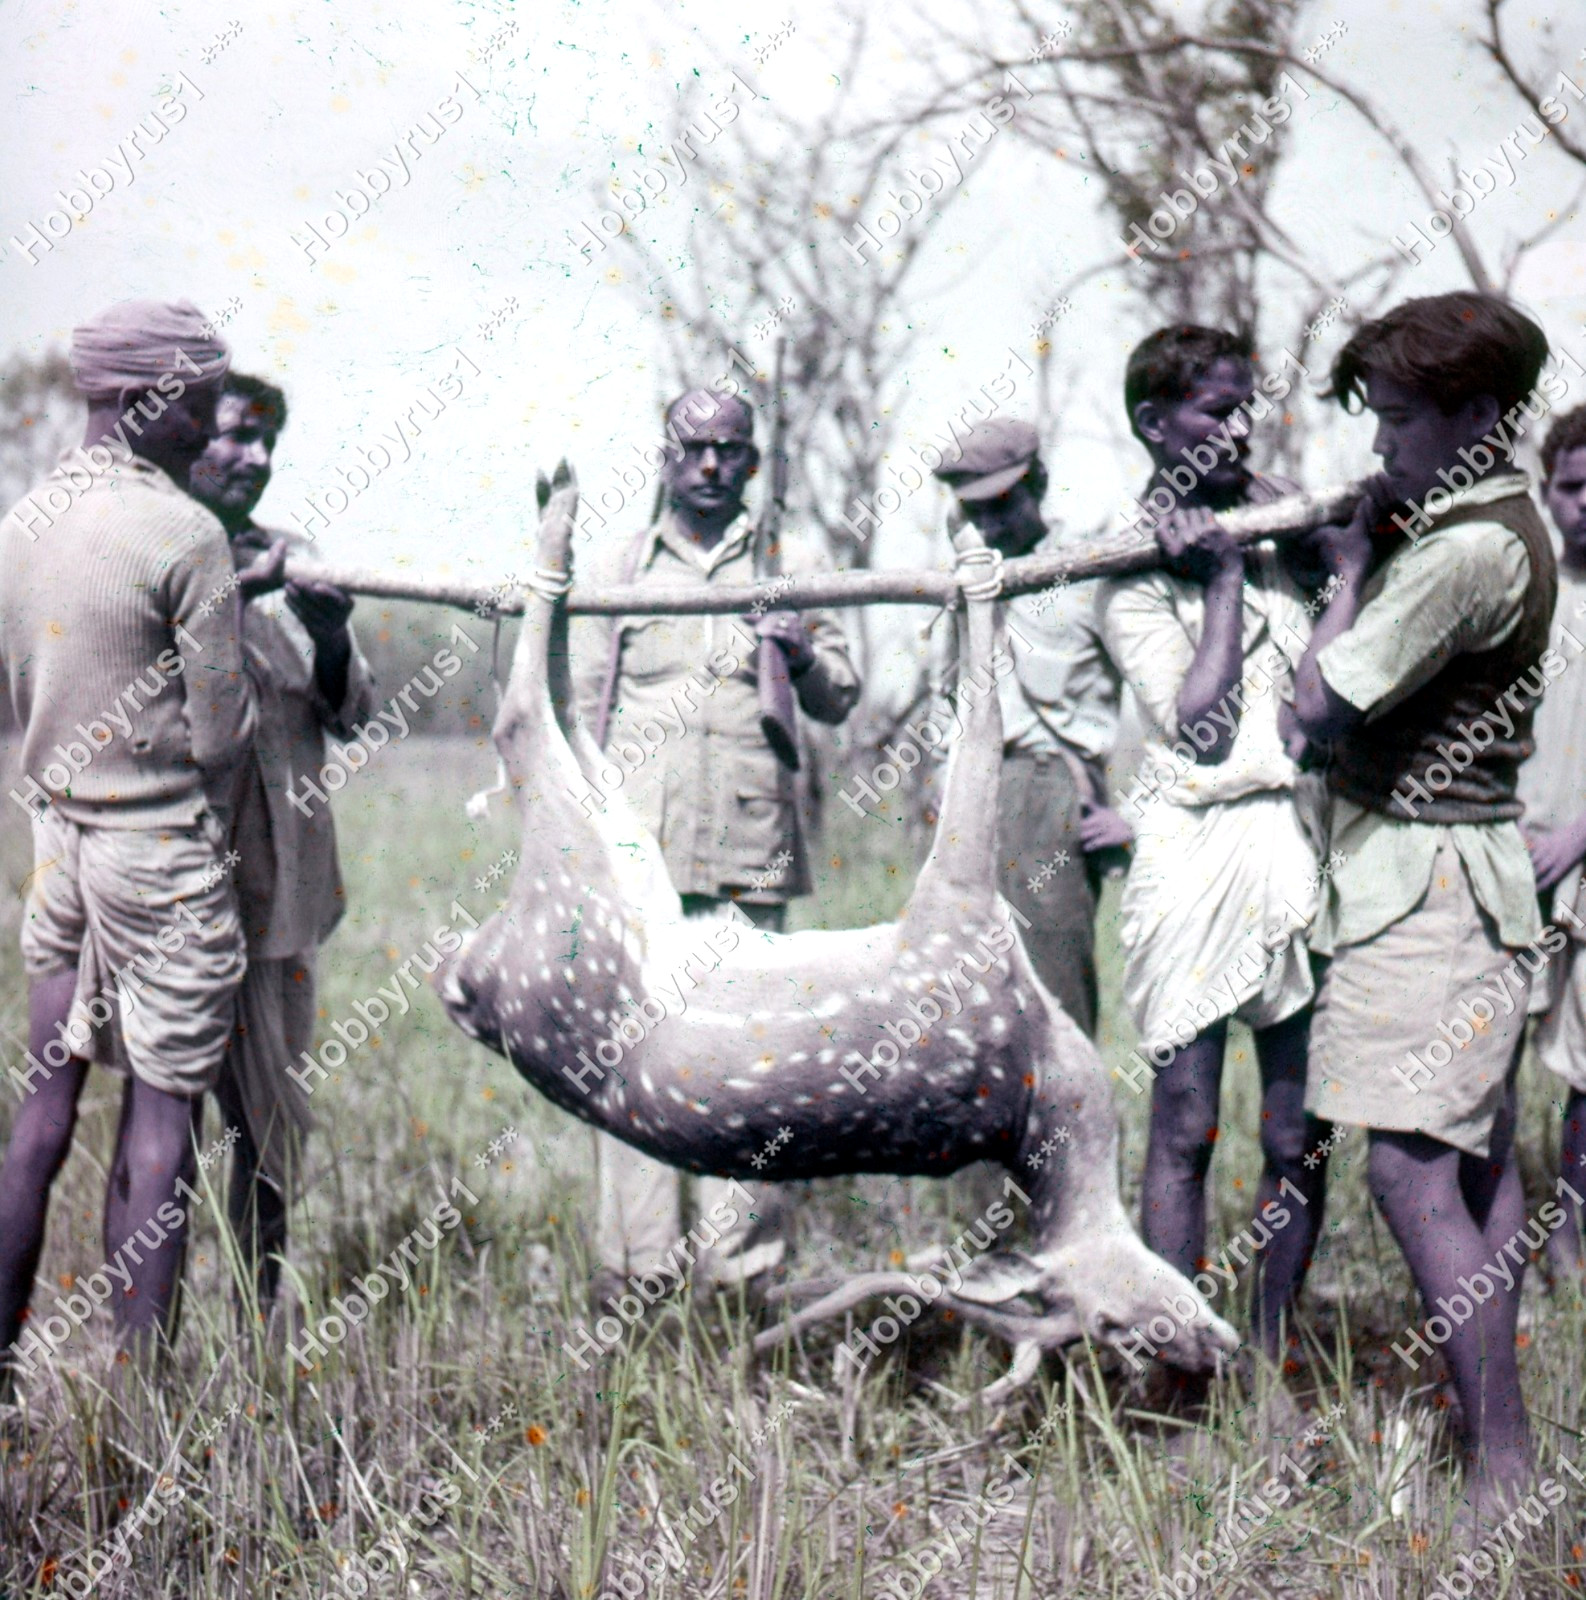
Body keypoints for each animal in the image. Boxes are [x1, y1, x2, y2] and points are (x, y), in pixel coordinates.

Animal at [438, 462, 1240, 1401]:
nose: (1215, 1348)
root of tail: (474, 975)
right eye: (1122, 1324)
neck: (1045, 1064)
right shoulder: (956, 909)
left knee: (559, 722)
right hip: (577, 888)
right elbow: (979, 733)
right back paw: (558, 527)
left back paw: (559, 529)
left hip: (611, 863)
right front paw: (974, 562)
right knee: (519, 718)